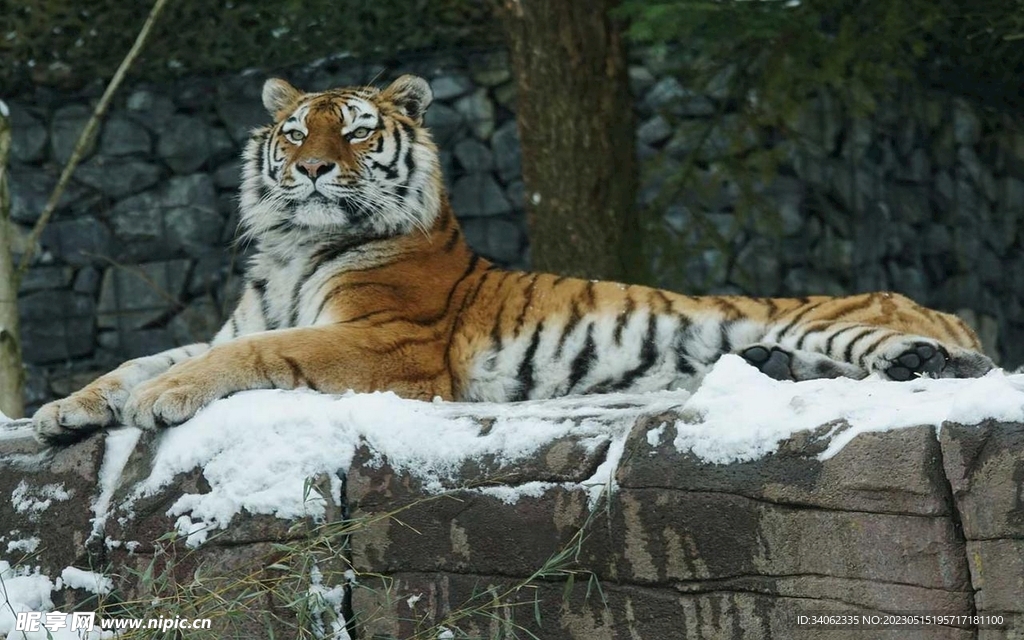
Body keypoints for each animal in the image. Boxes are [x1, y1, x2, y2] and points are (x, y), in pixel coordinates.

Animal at [33, 74, 995, 445]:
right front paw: (61, 411)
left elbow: (255, 355)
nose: (310, 170)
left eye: (356, 132)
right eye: (296, 132)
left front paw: (158, 401)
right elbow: (143, 354)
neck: (290, 249)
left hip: (843, 322)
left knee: (957, 366)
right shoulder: (239, 320)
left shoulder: (389, 342)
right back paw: (768, 367)